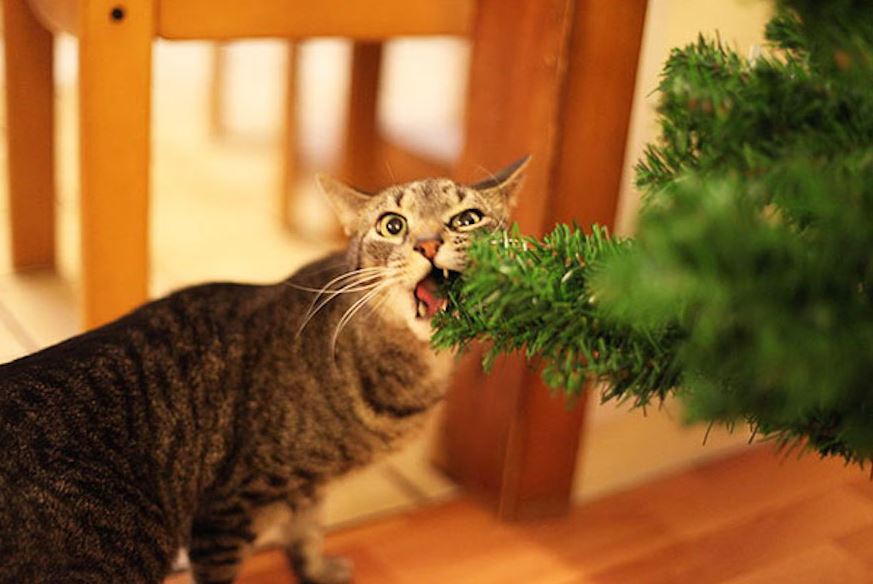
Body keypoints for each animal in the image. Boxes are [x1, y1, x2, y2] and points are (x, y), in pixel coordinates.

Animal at [0, 157, 524, 580]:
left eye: (467, 219)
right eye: (393, 225)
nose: (430, 245)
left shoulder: (309, 486)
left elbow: (307, 533)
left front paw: (317, 570)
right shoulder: (227, 512)